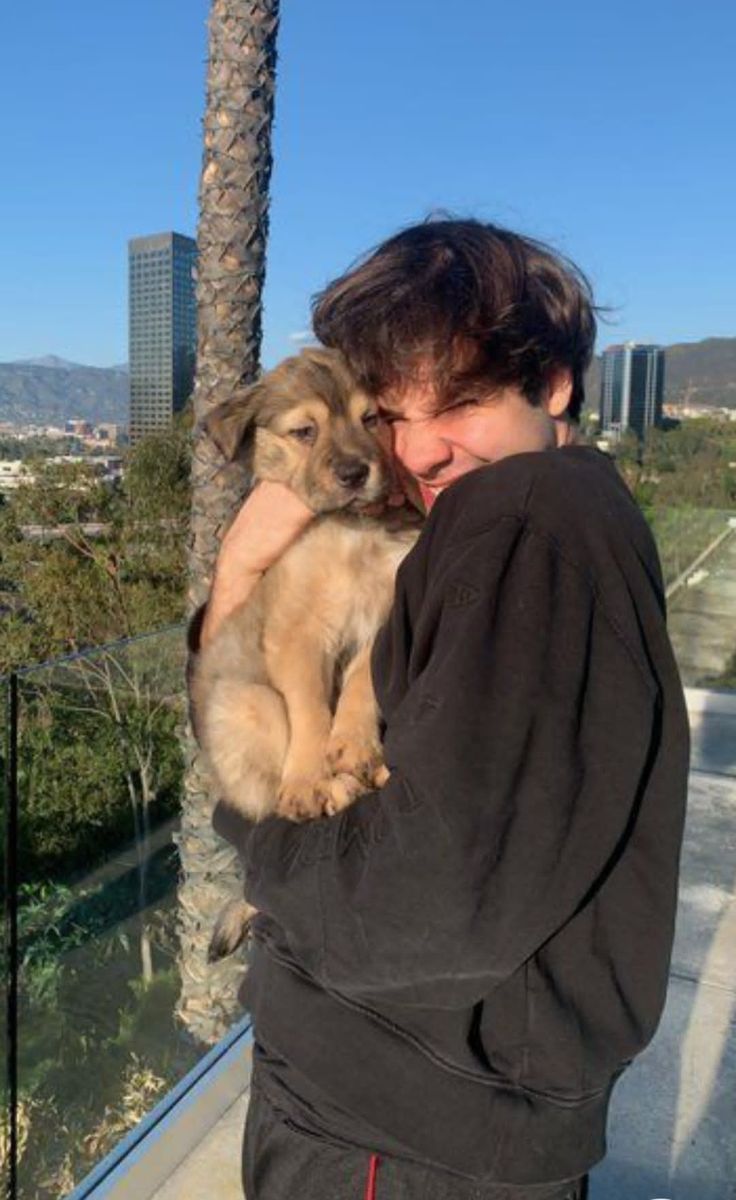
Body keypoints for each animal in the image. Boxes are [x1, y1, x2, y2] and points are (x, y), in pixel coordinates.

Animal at [190, 345, 420, 955]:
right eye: (304, 431)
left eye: (372, 419)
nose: (355, 473)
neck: (351, 531)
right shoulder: (298, 634)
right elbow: (312, 712)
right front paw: (311, 778)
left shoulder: (382, 617)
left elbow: (361, 686)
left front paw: (356, 746)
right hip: (246, 703)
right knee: (269, 799)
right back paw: (329, 788)